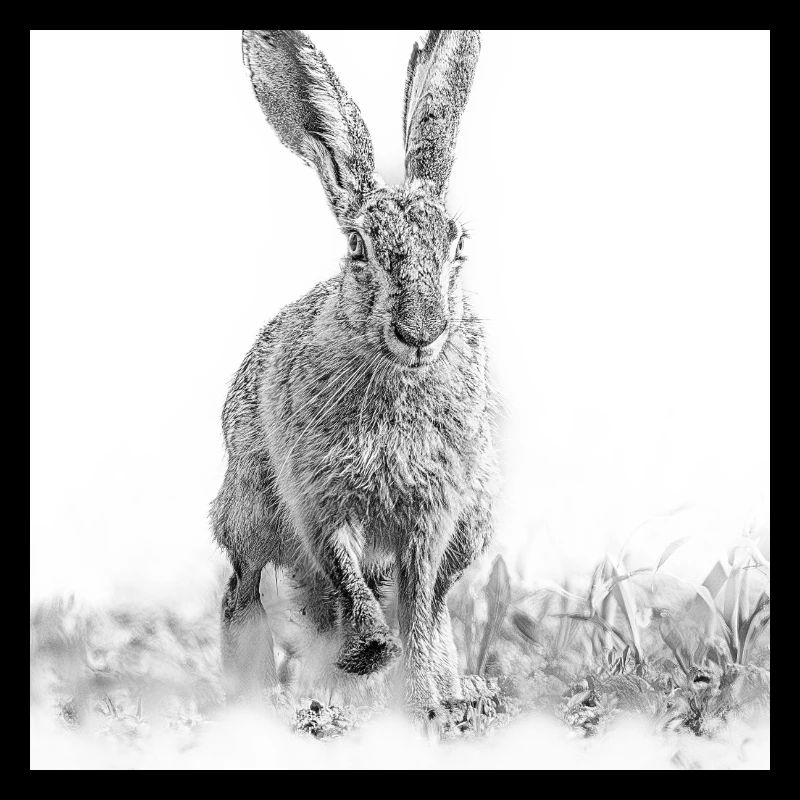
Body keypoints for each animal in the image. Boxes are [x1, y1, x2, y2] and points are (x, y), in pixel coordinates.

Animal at [212, 29, 497, 714]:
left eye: (458, 246)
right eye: (357, 247)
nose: (421, 332)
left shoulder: (433, 515)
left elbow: (418, 606)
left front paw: (426, 701)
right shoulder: (319, 500)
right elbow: (346, 578)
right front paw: (368, 655)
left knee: (435, 605)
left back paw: (452, 691)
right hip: (249, 510)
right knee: (244, 593)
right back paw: (262, 696)